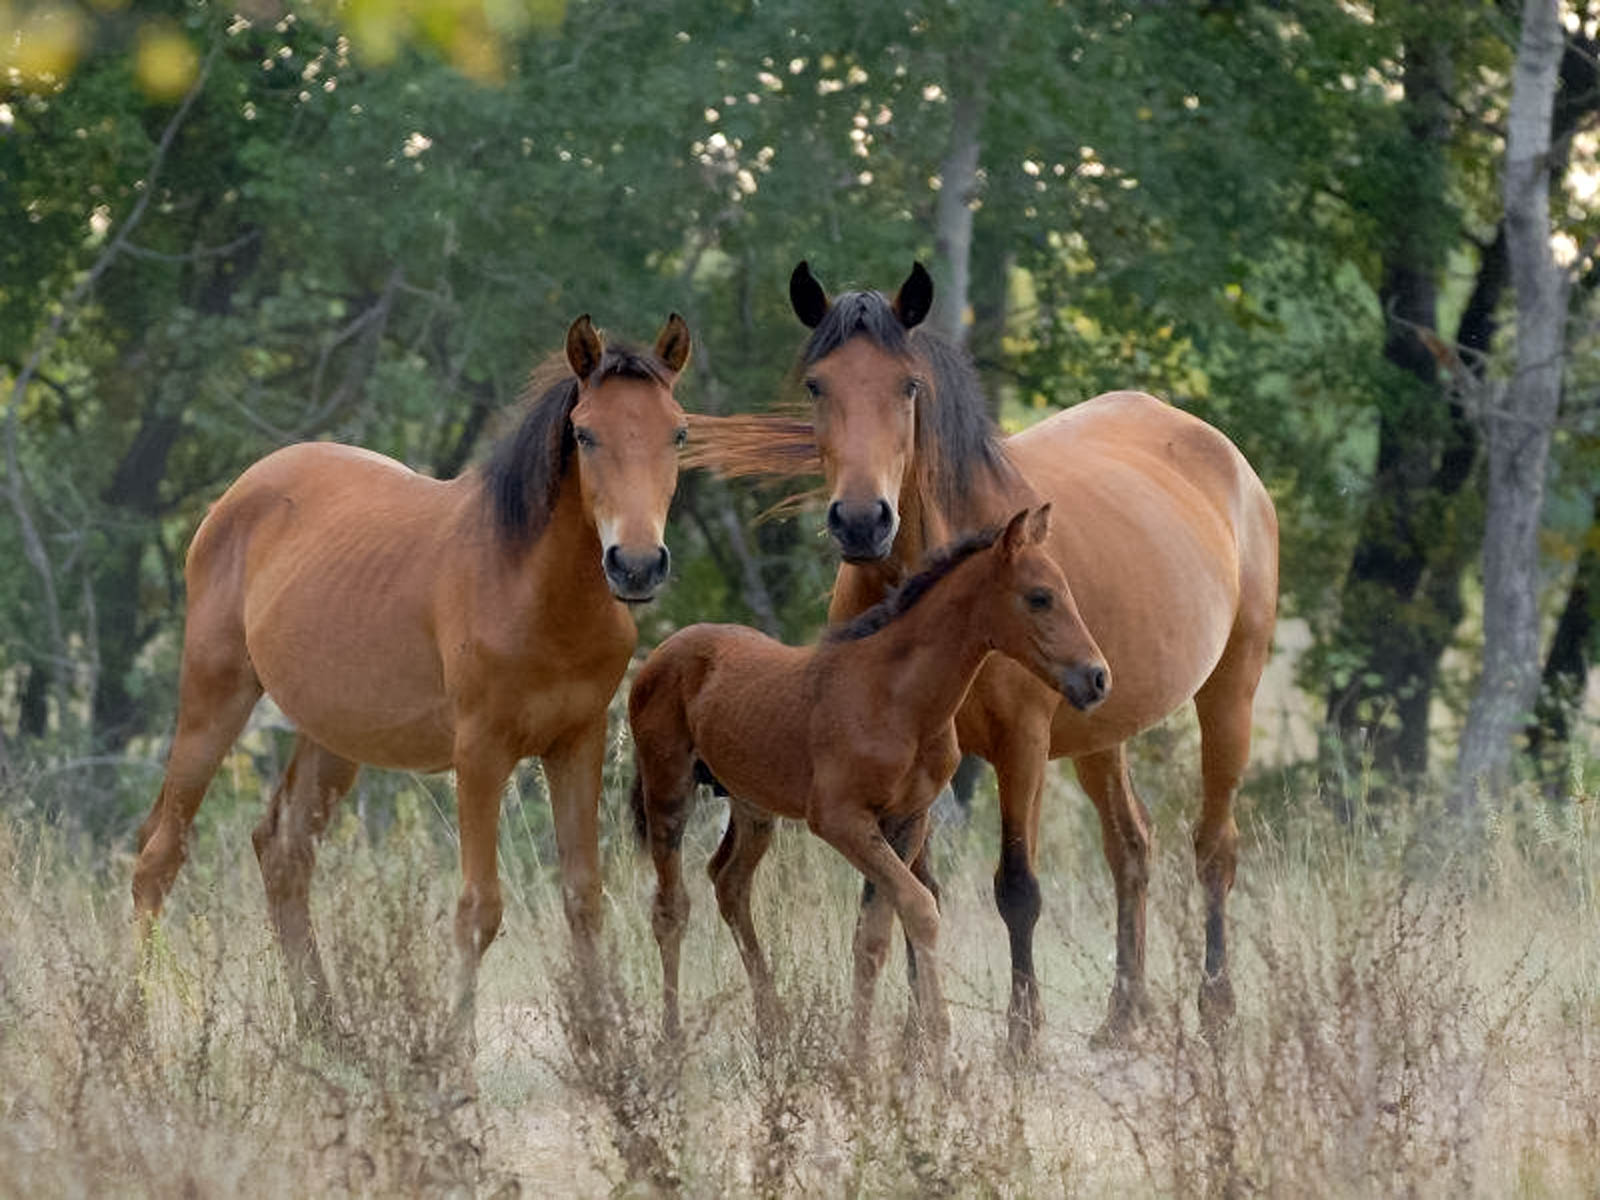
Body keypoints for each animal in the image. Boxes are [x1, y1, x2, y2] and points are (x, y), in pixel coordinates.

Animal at [132, 312, 694, 1036]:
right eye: (585, 433)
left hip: (333, 738)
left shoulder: (577, 743)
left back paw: (325, 1027)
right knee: (159, 858)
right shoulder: (480, 752)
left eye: (677, 431)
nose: (637, 564)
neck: (533, 589)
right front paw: (454, 1050)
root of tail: (235, 497)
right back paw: (126, 1021)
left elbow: (584, 897)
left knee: (283, 853)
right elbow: (479, 909)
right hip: (214, 699)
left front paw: (604, 1045)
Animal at [630, 508, 1107, 1062]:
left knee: (729, 883)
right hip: (668, 789)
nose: (1098, 678)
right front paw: (938, 1042)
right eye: (1040, 597)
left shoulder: (905, 820)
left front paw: (860, 1055)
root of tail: (662, 651)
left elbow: (874, 935)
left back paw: (774, 1031)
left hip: (752, 805)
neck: (899, 700)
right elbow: (920, 908)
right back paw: (671, 1042)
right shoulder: (840, 820)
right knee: (671, 908)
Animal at [688, 265, 1273, 1049]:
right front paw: (916, 1036)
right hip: (1100, 729)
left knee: (1213, 849)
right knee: (1131, 848)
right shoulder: (908, 770)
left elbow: (1015, 888)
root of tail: (1224, 456)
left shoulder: (1021, 745)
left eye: (909, 385)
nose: (862, 521)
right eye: (817, 385)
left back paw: (1216, 1008)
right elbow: (909, 890)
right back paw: (1122, 1015)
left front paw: (1020, 1037)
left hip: (1229, 694)